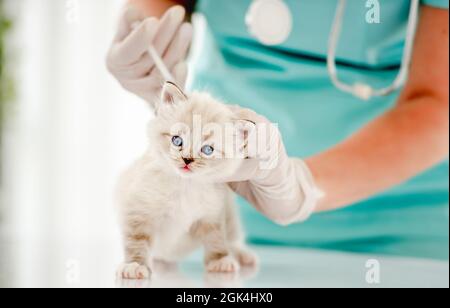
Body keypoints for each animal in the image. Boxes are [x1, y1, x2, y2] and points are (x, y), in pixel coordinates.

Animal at [116, 82, 256, 280]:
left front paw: (220, 261)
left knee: (233, 238)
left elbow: (216, 238)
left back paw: (242, 256)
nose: (187, 160)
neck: (184, 185)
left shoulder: (212, 213)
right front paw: (135, 265)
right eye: (177, 140)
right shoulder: (139, 210)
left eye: (207, 149)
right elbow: (136, 240)